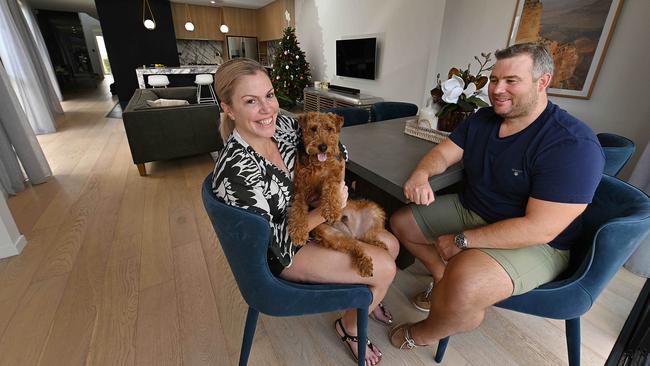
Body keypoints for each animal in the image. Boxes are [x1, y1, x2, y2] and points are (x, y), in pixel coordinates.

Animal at [288, 112, 384, 278]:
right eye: (313, 129)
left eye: (330, 128)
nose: (323, 147)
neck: (318, 164)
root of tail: (353, 231)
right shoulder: (300, 188)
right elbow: (298, 208)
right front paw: (298, 232)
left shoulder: (335, 176)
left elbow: (330, 188)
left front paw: (332, 211)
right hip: (334, 236)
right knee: (357, 245)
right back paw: (365, 263)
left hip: (375, 211)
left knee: (366, 239)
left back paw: (377, 248)